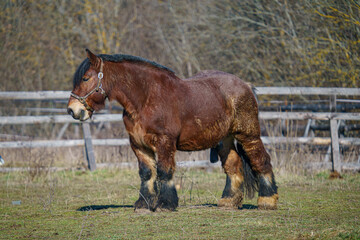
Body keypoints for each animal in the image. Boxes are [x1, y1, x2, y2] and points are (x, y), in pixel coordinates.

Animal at [67, 49, 278, 211]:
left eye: (85, 78)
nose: (72, 110)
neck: (146, 98)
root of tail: (245, 85)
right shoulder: (138, 145)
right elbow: (147, 173)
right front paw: (143, 205)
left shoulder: (164, 142)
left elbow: (164, 171)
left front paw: (165, 204)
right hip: (224, 139)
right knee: (233, 166)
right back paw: (228, 201)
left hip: (248, 135)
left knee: (261, 160)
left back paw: (267, 201)